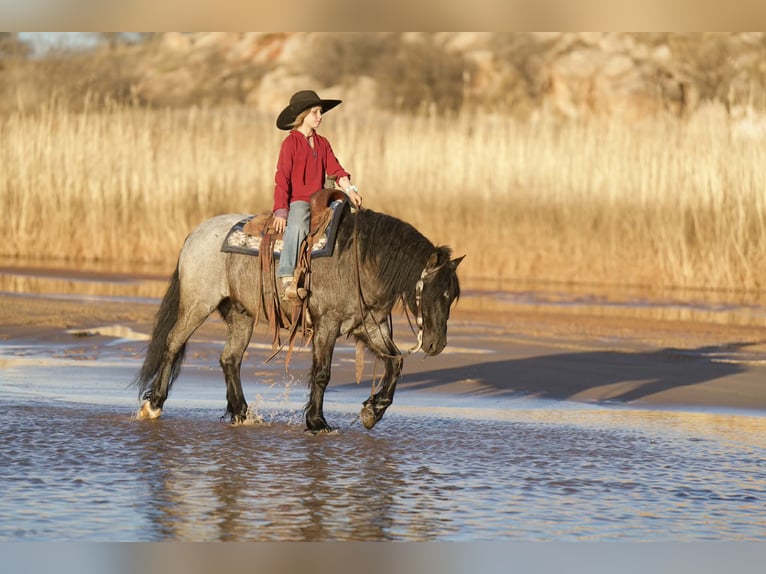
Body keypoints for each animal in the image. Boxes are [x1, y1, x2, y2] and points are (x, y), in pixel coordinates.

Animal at [134, 202, 463, 433]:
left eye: (452, 296)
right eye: (434, 291)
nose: (436, 345)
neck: (360, 262)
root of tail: (195, 234)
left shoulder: (369, 326)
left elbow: (395, 364)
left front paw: (372, 412)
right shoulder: (327, 324)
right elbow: (322, 374)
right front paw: (318, 422)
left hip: (241, 314)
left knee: (230, 359)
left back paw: (242, 414)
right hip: (198, 304)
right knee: (173, 343)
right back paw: (153, 405)